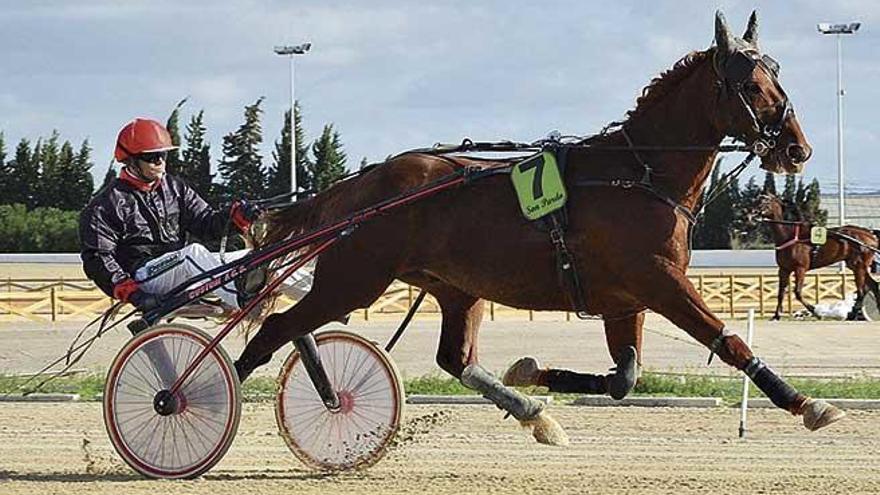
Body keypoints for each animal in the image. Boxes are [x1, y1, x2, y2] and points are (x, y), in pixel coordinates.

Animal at [237, 11, 844, 444]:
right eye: (753, 84)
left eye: (777, 73)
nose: (798, 149)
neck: (641, 172)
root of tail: (366, 183)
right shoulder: (658, 280)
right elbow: (730, 340)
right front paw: (807, 403)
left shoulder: (626, 298)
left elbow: (623, 378)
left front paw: (531, 373)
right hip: (354, 280)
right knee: (274, 330)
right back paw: (212, 404)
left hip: (454, 288)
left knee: (455, 360)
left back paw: (532, 412)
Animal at [756, 194, 880, 322]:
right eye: (757, 200)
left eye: (765, 202)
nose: (753, 213)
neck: (790, 236)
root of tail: (870, 235)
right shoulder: (784, 269)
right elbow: (780, 293)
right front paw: (776, 315)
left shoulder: (800, 268)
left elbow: (798, 292)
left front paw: (815, 311)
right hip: (857, 266)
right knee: (873, 286)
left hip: (858, 265)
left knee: (861, 291)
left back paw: (852, 313)